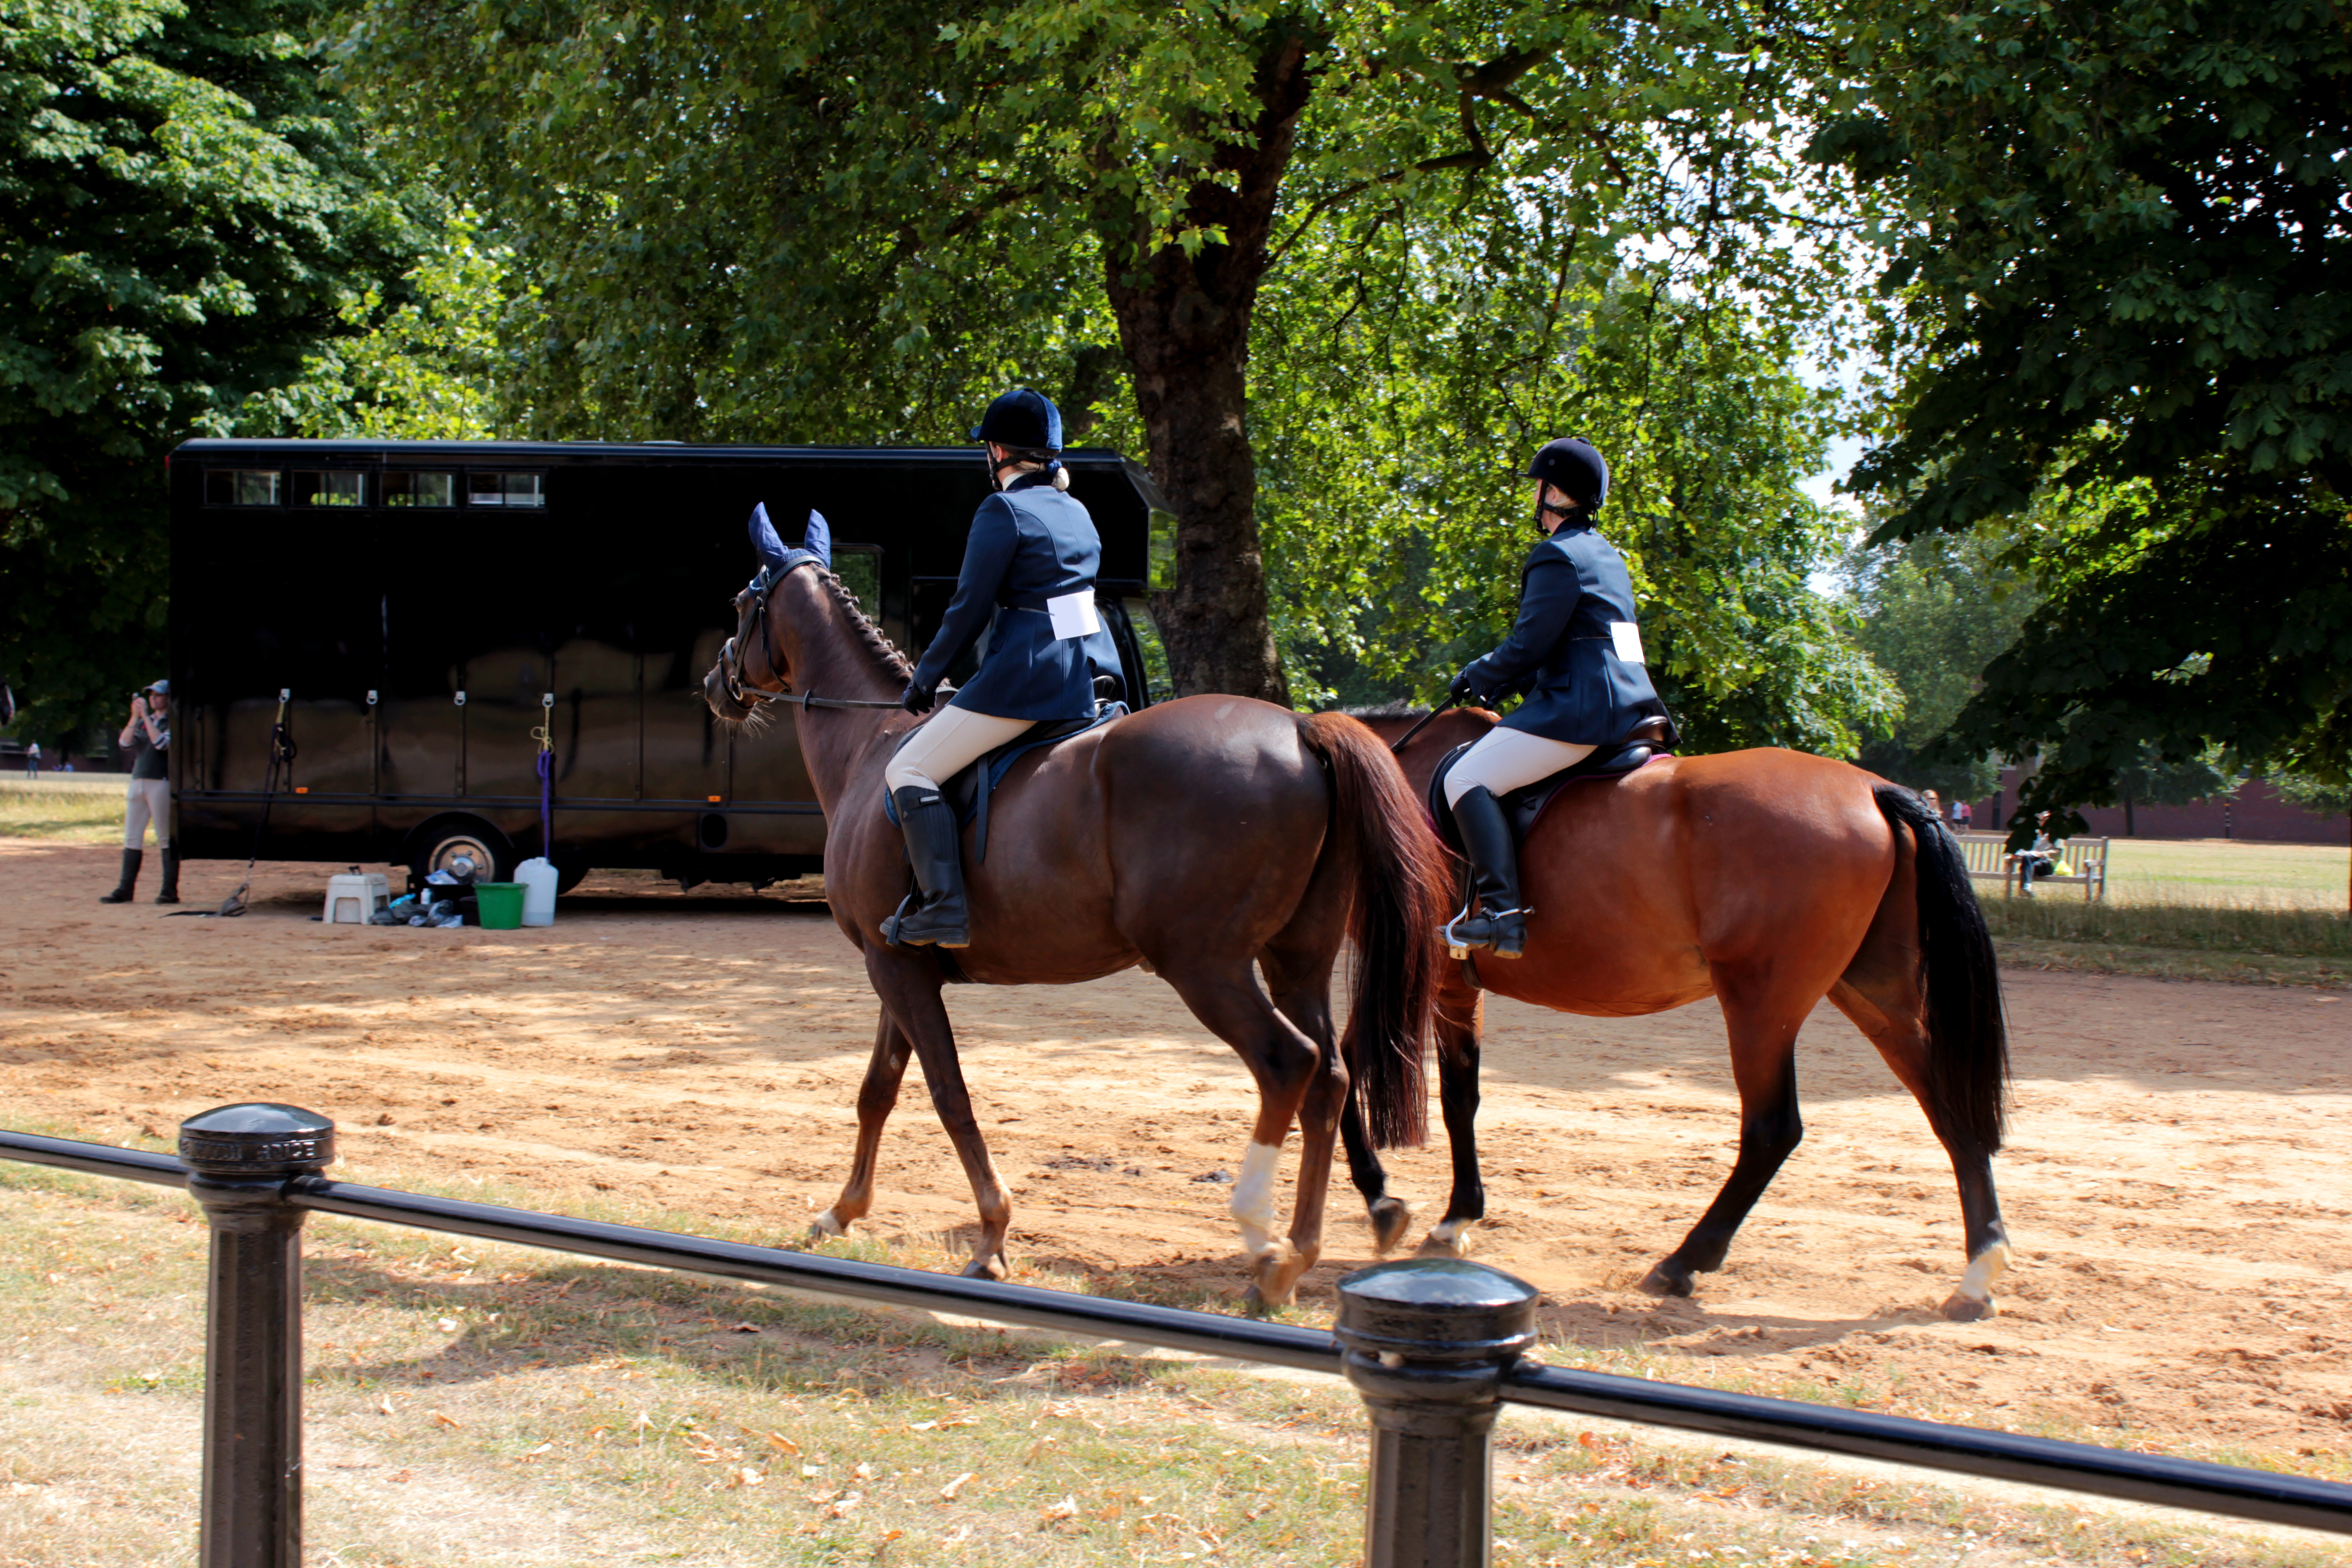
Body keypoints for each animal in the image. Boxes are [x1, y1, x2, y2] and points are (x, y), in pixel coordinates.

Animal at [691, 545, 1449, 1307]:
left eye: (740, 604)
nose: (714, 683)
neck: (869, 746)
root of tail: (1298, 729)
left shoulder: (894, 967)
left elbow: (947, 1093)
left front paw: (992, 1236)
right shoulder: (898, 965)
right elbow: (878, 1089)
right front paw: (841, 1212)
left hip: (1204, 967)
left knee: (1287, 1063)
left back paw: (1264, 1240)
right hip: (1297, 961)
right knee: (1329, 1078)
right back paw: (1300, 1251)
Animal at [1336, 710, 2013, 1326]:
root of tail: (1872, 790)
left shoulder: (1416, 972)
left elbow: (1345, 1064)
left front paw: (1382, 1200)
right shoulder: (1455, 986)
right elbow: (1461, 1098)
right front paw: (1456, 1219)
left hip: (1760, 1000)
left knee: (1773, 1129)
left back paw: (1682, 1262)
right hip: (1875, 995)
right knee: (1951, 1112)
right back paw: (1978, 1275)